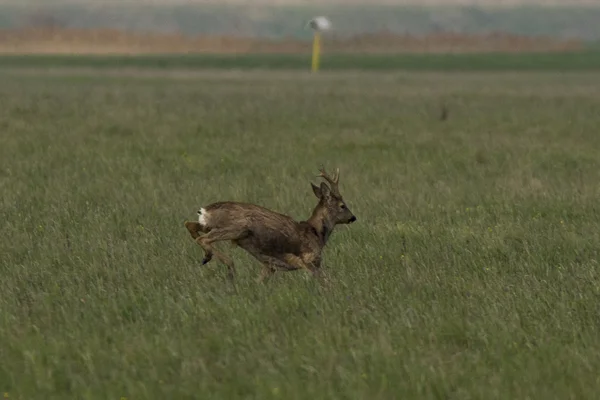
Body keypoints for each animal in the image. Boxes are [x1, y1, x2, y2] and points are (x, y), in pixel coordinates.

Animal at [183, 166, 356, 284]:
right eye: (342, 205)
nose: (353, 217)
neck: (316, 233)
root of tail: (205, 210)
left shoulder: (269, 266)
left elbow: (259, 281)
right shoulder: (307, 260)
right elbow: (325, 280)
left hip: (210, 225)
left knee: (190, 225)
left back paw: (209, 258)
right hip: (238, 228)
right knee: (203, 238)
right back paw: (226, 264)